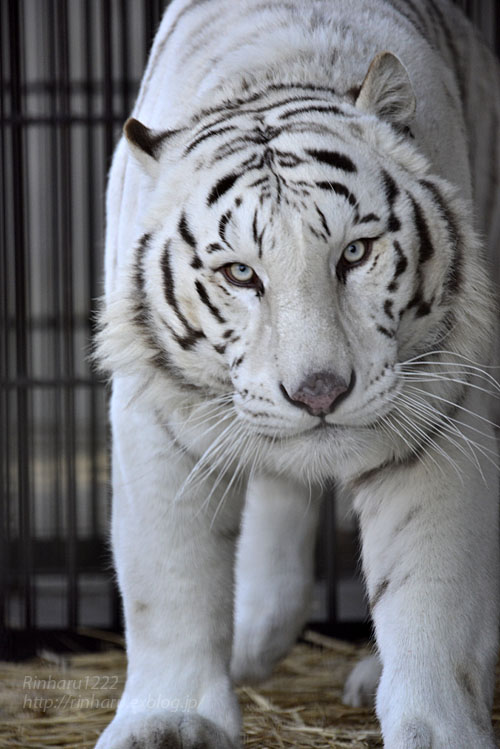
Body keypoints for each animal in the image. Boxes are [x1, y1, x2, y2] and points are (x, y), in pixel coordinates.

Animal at [94, 0, 500, 744]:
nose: (319, 392)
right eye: (239, 273)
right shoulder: (155, 418)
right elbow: (167, 578)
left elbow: (433, 601)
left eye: (356, 253)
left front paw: (436, 729)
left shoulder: (439, 419)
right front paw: (170, 719)